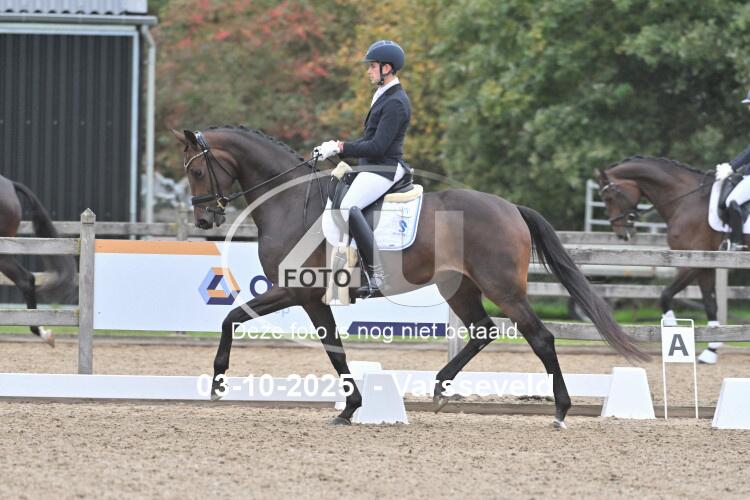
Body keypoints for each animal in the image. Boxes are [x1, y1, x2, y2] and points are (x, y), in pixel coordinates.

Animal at [173, 126, 647, 427]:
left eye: (195, 171)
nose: (204, 219)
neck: (291, 202)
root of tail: (511, 207)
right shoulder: (305, 295)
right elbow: (313, 342)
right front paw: (350, 407)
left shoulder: (298, 291)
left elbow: (248, 323)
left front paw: (219, 382)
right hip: (459, 287)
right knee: (483, 330)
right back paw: (439, 388)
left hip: (502, 287)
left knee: (540, 337)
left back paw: (562, 411)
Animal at [594, 156, 726, 363]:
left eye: (609, 198)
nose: (621, 234)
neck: (686, 200)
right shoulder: (705, 264)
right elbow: (710, 303)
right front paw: (711, 350)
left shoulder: (691, 262)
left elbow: (665, 295)